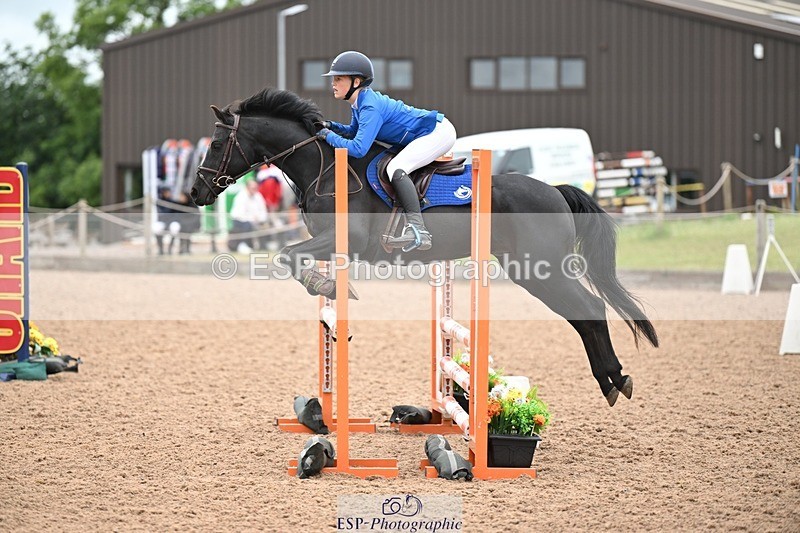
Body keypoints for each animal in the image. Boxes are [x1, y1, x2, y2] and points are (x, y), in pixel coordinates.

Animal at [191, 87, 659, 406]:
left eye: (216, 143)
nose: (196, 192)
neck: (322, 168)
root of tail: (556, 190)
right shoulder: (329, 244)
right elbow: (291, 257)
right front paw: (328, 289)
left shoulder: (347, 241)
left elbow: (287, 255)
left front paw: (328, 288)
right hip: (531, 271)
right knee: (581, 315)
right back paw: (611, 382)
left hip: (540, 267)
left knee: (590, 308)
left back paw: (615, 378)